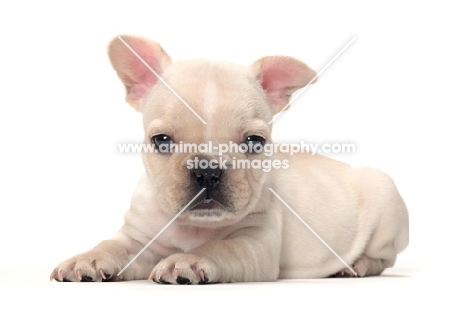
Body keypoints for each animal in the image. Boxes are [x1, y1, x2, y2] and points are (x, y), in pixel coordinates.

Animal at [51, 35, 408, 284]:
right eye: (161, 141)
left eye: (255, 142)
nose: (207, 171)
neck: (195, 227)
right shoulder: (138, 236)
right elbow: (112, 246)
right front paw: (87, 259)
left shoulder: (255, 242)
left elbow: (221, 247)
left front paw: (189, 260)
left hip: (385, 202)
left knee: (384, 258)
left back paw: (356, 265)